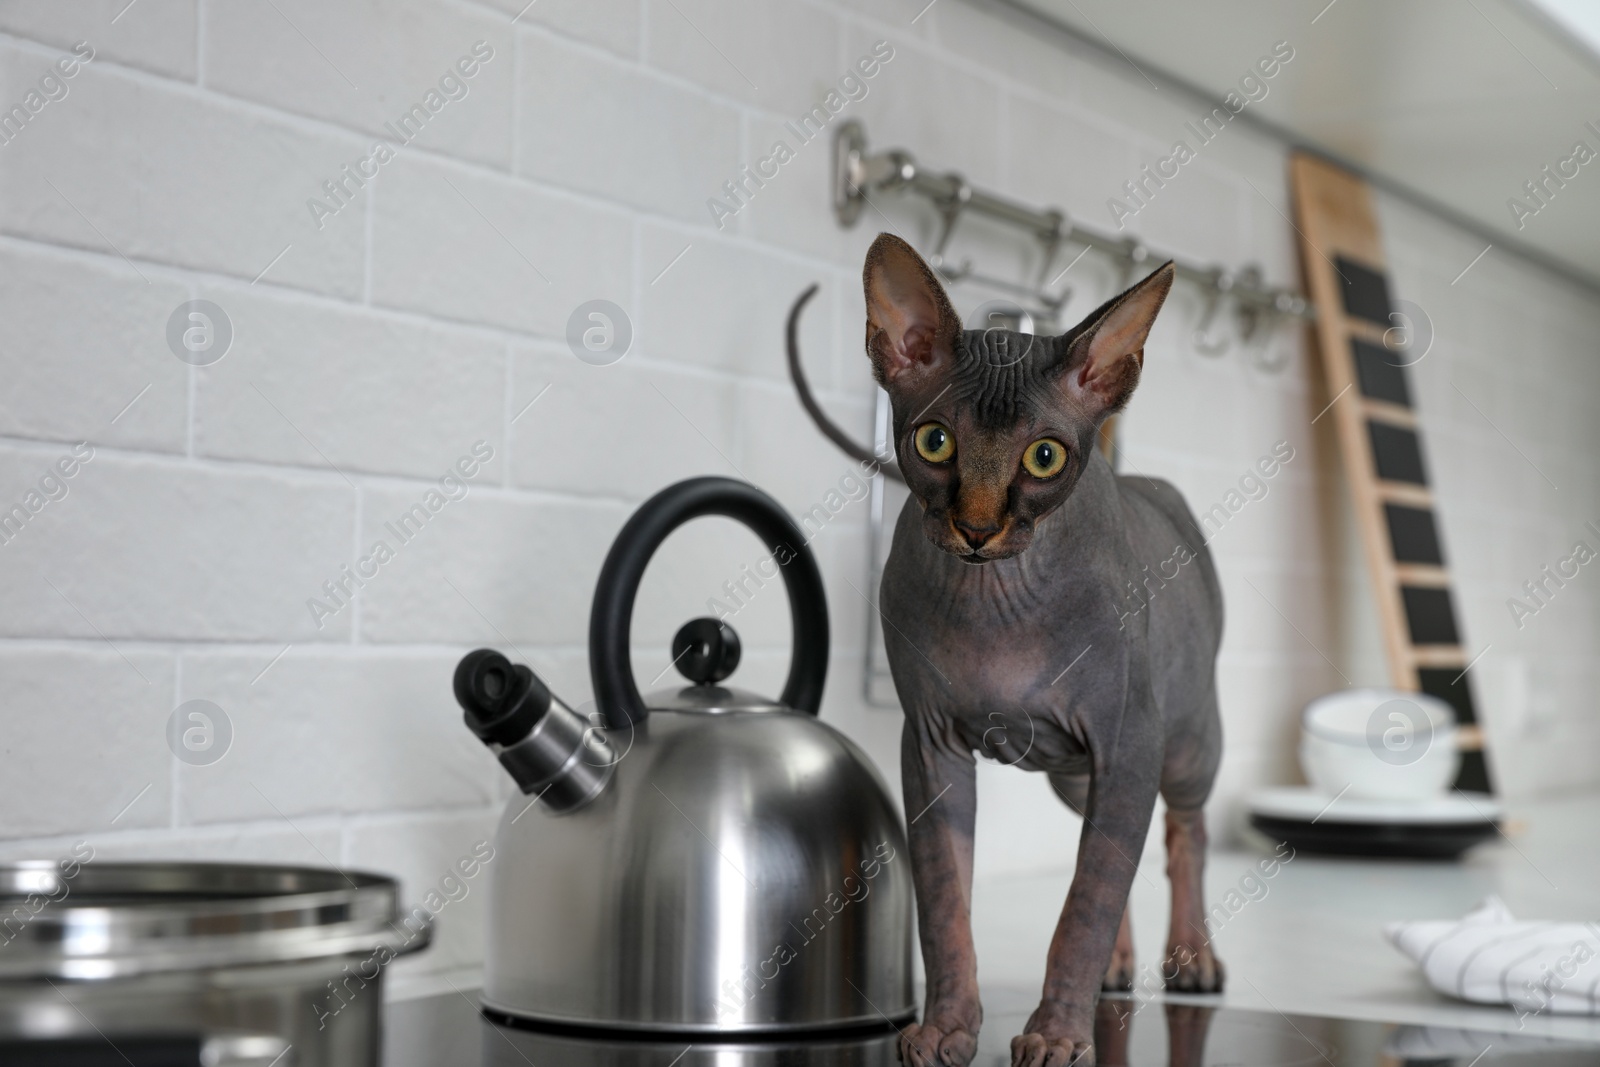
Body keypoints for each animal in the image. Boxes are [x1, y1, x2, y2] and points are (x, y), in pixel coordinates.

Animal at [787, 235, 1222, 1067]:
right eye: (936, 441)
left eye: (1044, 457)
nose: (978, 527)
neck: (997, 603)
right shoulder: (931, 748)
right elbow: (947, 903)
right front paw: (948, 1026)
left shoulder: (1128, 741)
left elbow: (1084, 903)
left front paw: (1056, 1034)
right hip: (1076, 776)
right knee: (1114, 845)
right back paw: (1120, 967)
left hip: (1183, 745)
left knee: (1183, 831)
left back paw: (1191, 957)